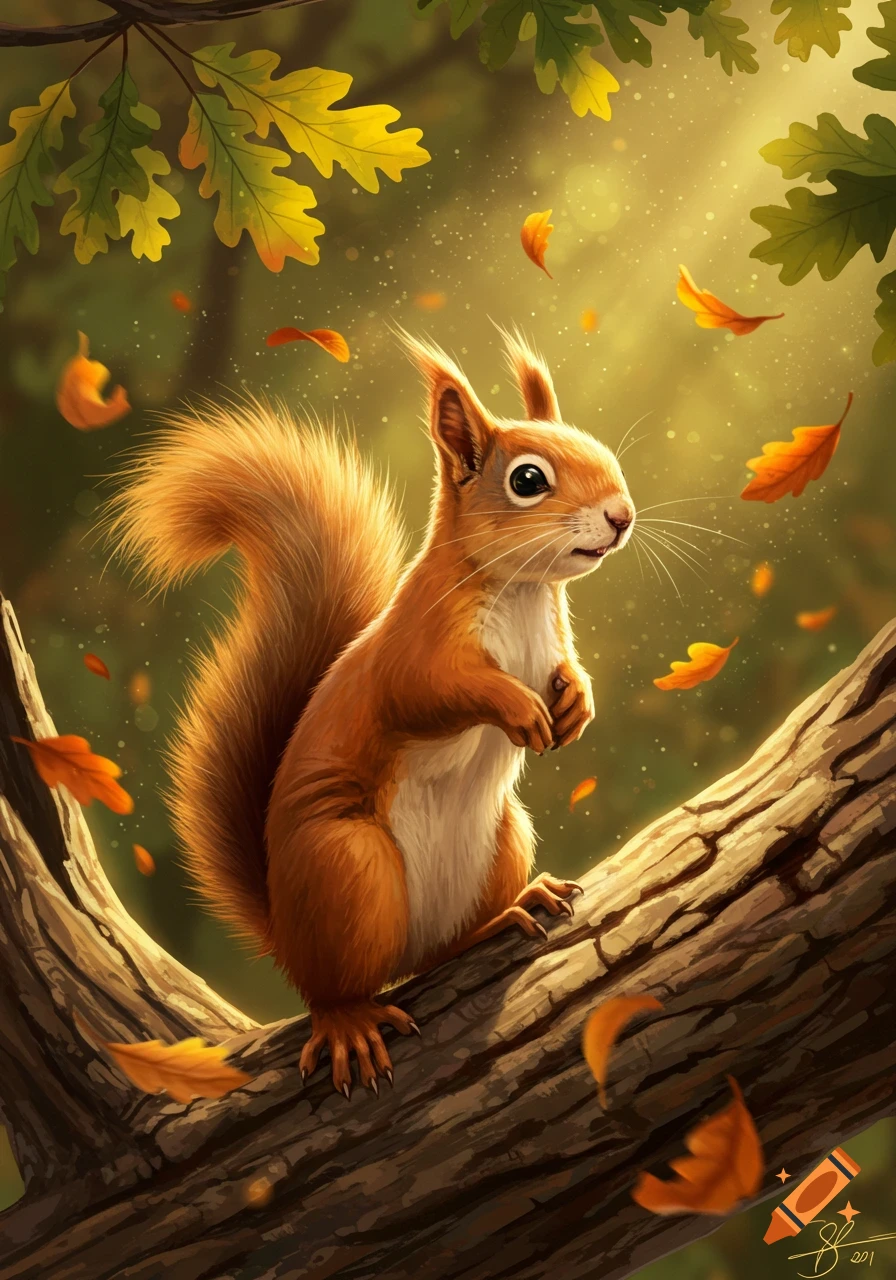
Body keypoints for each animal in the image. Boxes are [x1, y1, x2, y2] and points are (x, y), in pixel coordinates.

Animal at [111, 329, 635, 1097]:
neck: (520, 593)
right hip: (350, 869)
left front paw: (577, 705)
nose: (622, 516)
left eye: (602, 452)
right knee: (337, 989)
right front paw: (519, 707)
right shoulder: (413, 654)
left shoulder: (554, 642)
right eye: (528, 480)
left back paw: (514, 909)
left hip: (501, 838)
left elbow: (570, 672)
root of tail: (287, 935)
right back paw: (349, 1023)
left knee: (441, 951)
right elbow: (435, 692)